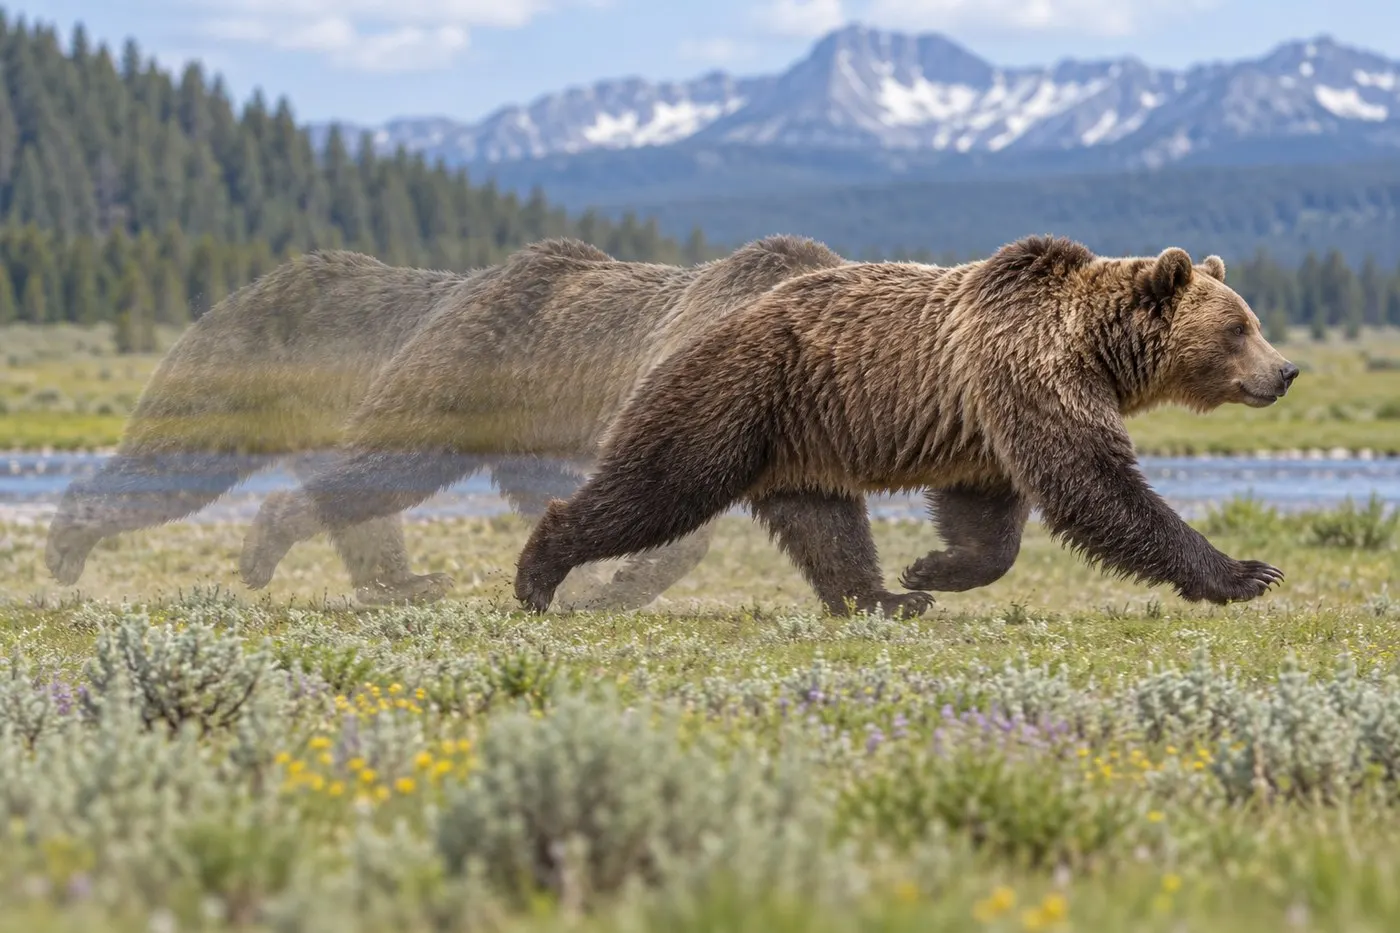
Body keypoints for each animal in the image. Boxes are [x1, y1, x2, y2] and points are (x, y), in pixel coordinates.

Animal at [511, 235, 1300, 617]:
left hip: (796, 436)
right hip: (729, 398)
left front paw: (931, 568)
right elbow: (1094, 483)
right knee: (656, 487)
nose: (1286, 370)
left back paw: (888, 599)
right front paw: (1246, 572)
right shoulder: (1027, 373)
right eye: (1238, 327)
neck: (1094, 348)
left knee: (824, 526)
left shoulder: (991, 412)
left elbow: (989, 514)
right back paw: (539, 574)